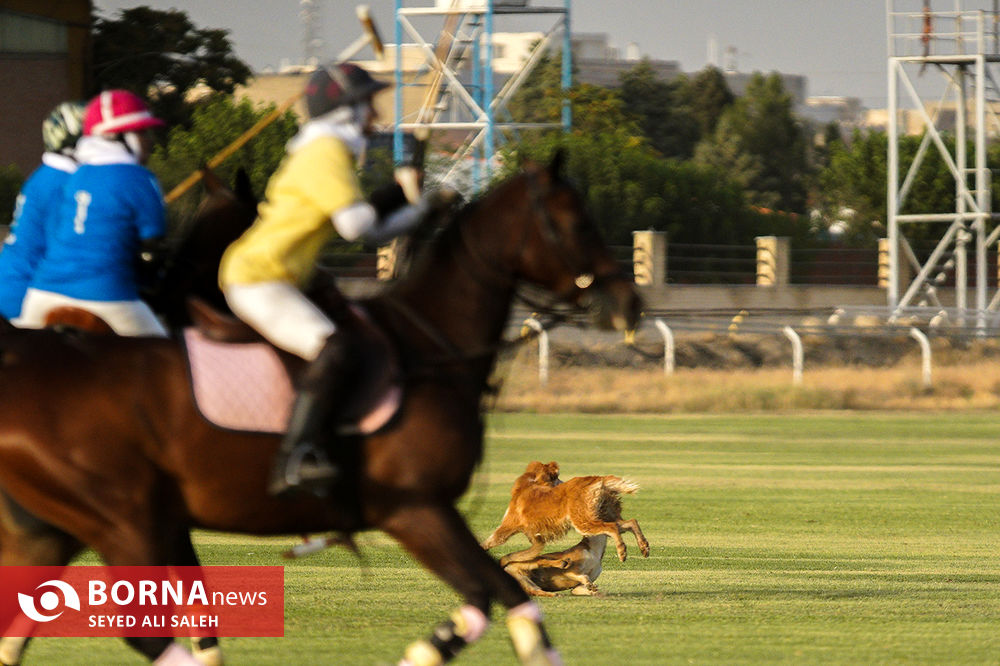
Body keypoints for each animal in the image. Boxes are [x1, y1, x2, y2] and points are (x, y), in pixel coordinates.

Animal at [482, 460, 652, 564]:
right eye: (557, 477)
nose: (561, 483)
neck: (530, 482)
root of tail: (598, 479)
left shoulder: (508, 526)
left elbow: (491, 541)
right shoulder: (535, 539)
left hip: (583, 521)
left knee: (612, 528)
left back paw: (622, 551)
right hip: (602, 514)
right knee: (629, 522)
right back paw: (643, 546)